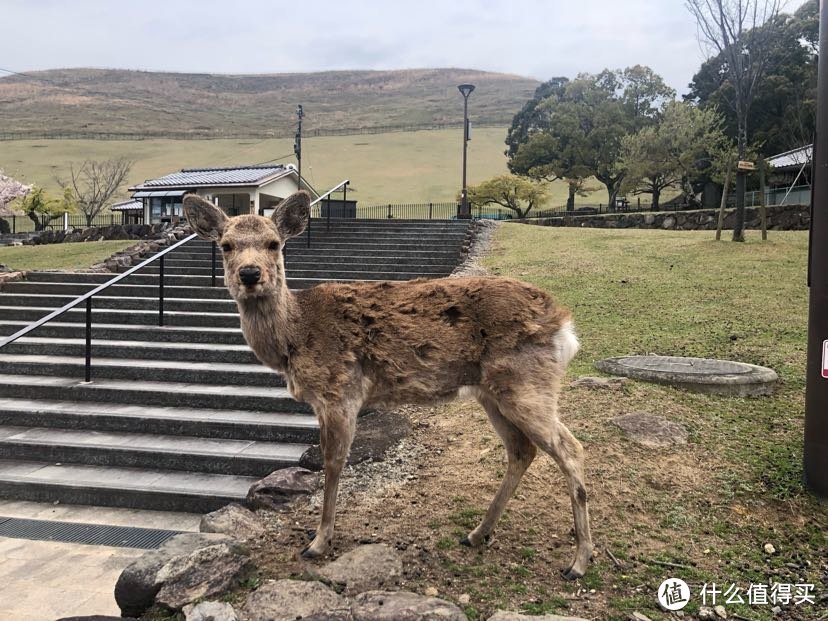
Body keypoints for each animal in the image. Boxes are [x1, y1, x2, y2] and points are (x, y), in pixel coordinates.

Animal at [184, 191, 592, 580]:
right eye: (226, 245)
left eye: (273, 243)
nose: (250, 274)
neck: (294, 339)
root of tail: (565, 327)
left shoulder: (340, 391)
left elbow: (334, 463)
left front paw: (318, 542)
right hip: (492, 391)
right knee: (522, 450)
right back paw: (478, 533)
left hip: (526, 382)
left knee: (571, 448)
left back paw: (579, 561)